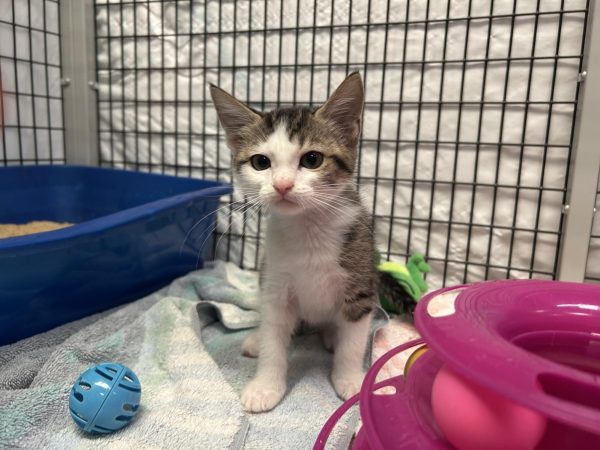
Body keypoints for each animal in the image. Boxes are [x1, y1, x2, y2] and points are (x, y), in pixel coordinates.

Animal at [210, 72, 376, 414]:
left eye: (312, 159)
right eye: (260, 162)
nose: (282, 185)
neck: (308, 227)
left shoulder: (360, 287)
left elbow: (353, 342)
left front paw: (350, 379)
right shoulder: (275, 286)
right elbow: (274, 338)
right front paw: (266, 386)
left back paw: (331, 336)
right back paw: (256, 340)